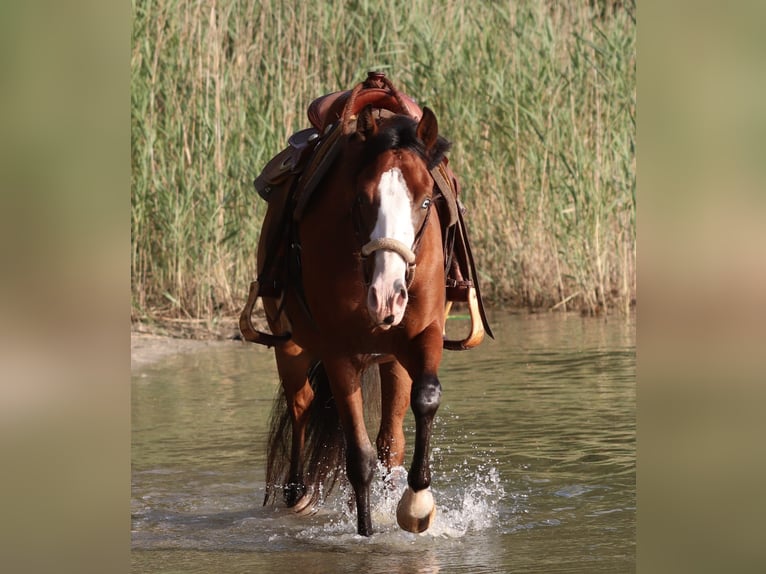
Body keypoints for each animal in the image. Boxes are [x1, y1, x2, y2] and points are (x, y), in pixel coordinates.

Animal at [244, 76, 484, 536]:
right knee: (301, 405)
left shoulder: (423, 333)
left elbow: (426, 398)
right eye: (360, 198)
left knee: (391, 441)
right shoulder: (339, 352)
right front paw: (367, 534)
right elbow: (358, 458)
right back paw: (296, 495)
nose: (388, 294)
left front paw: (416, 505)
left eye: (426, 201)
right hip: (291, 346)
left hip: (392, 359)